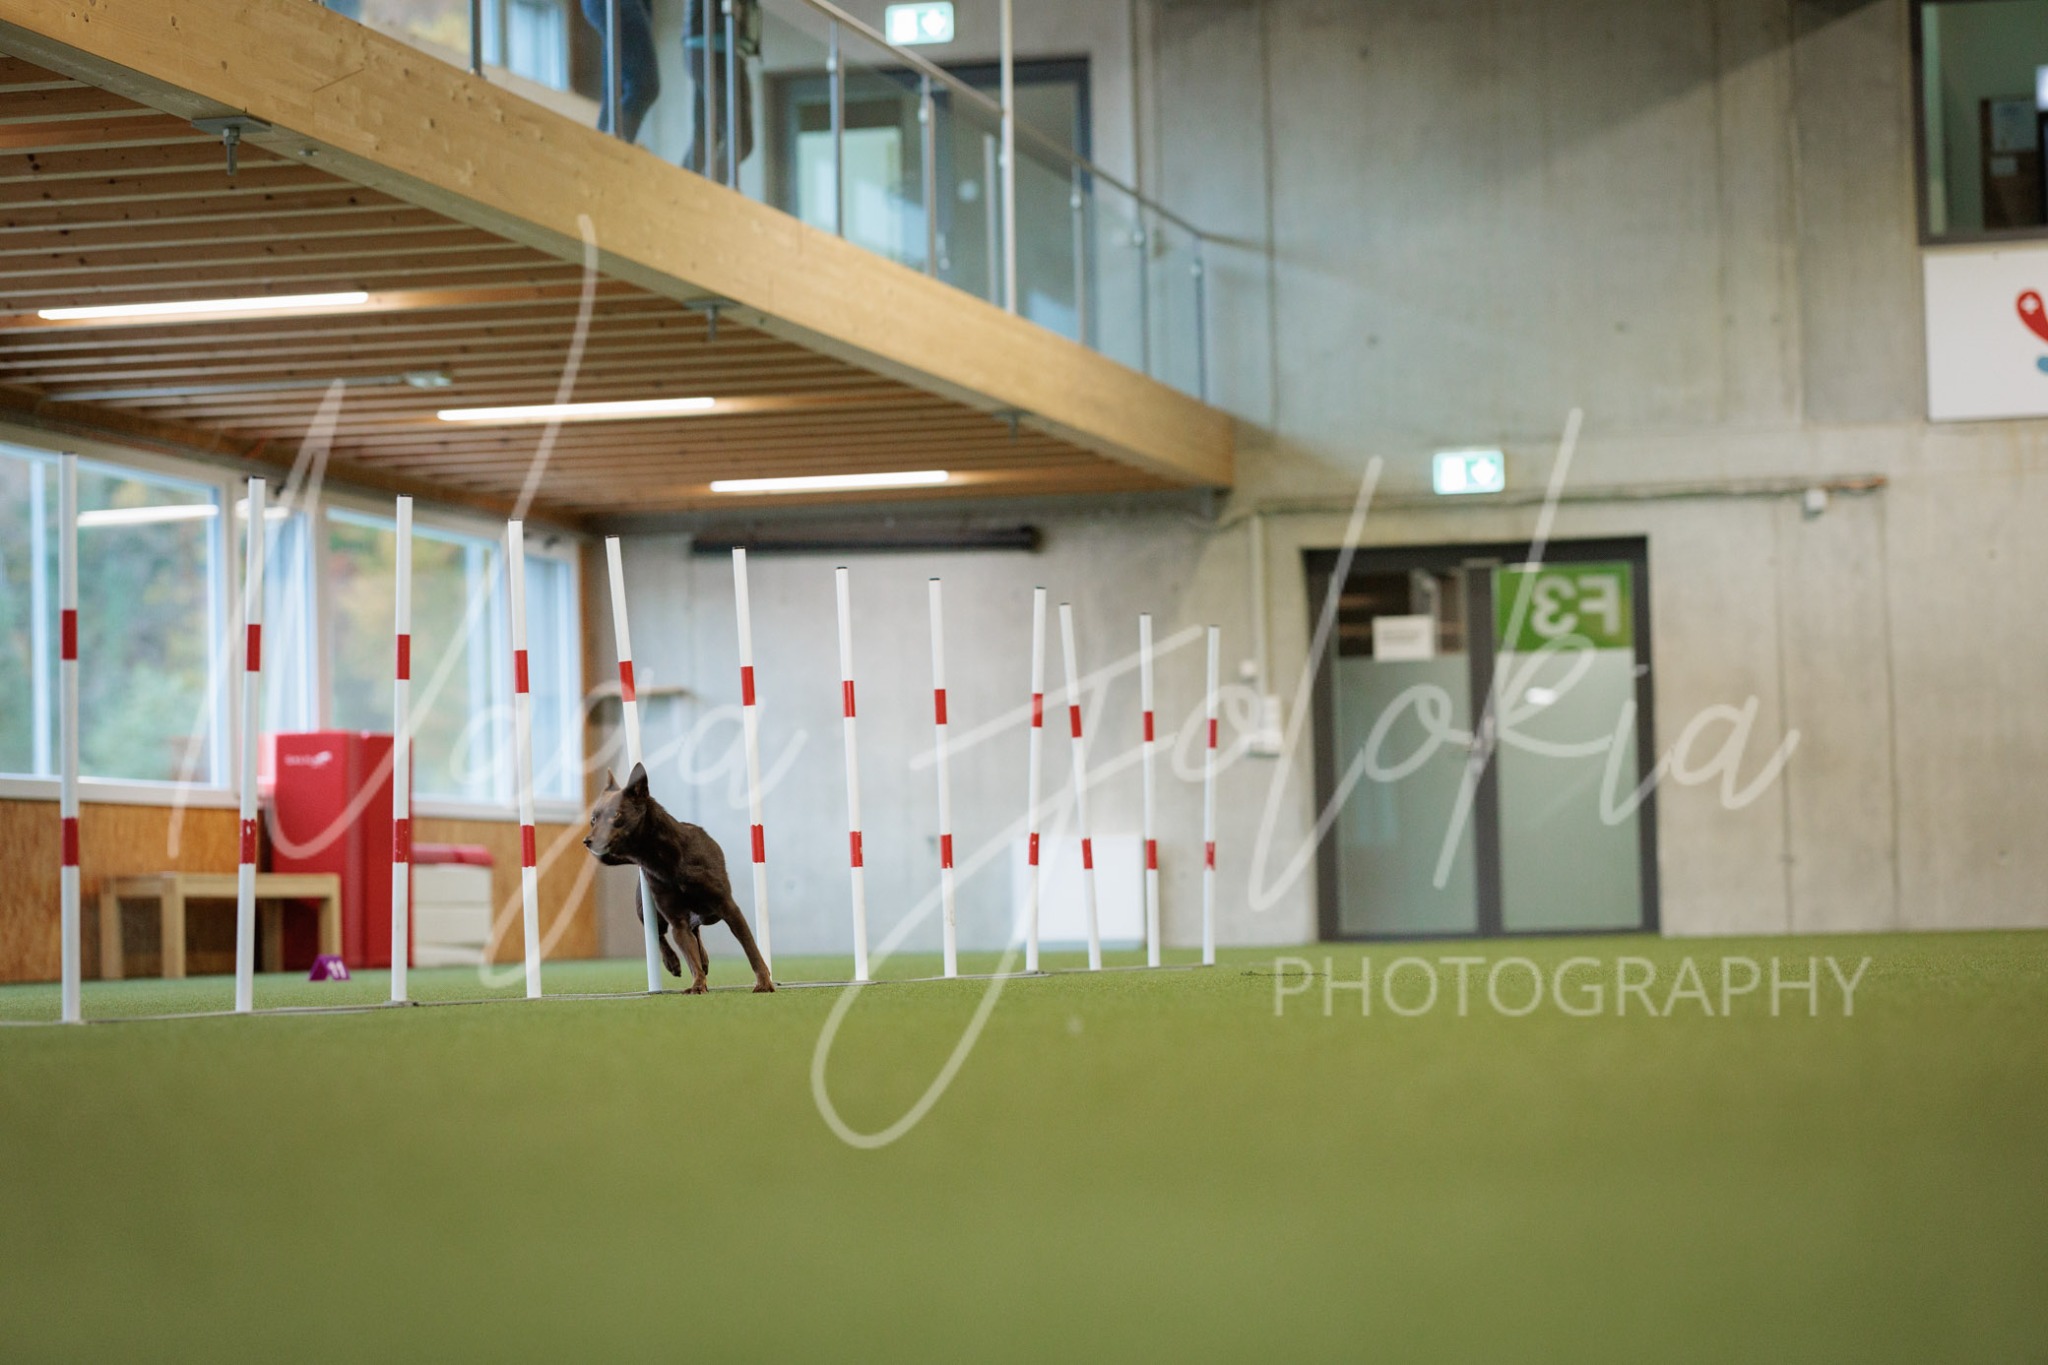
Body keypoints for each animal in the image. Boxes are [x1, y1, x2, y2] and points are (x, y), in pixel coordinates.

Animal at [583, 763, 774, 993]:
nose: (587, 841)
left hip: (711, 914)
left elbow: (751, 949)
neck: (666, 860)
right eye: (593, 819)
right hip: (644, 908)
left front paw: (764, 982)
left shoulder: (729, 908)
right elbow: (689, 957)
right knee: (659, 934)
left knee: (696, 929)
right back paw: (673, 962)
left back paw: (704, 957)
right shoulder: (677, 921)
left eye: (616, 814)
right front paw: (697, 984)